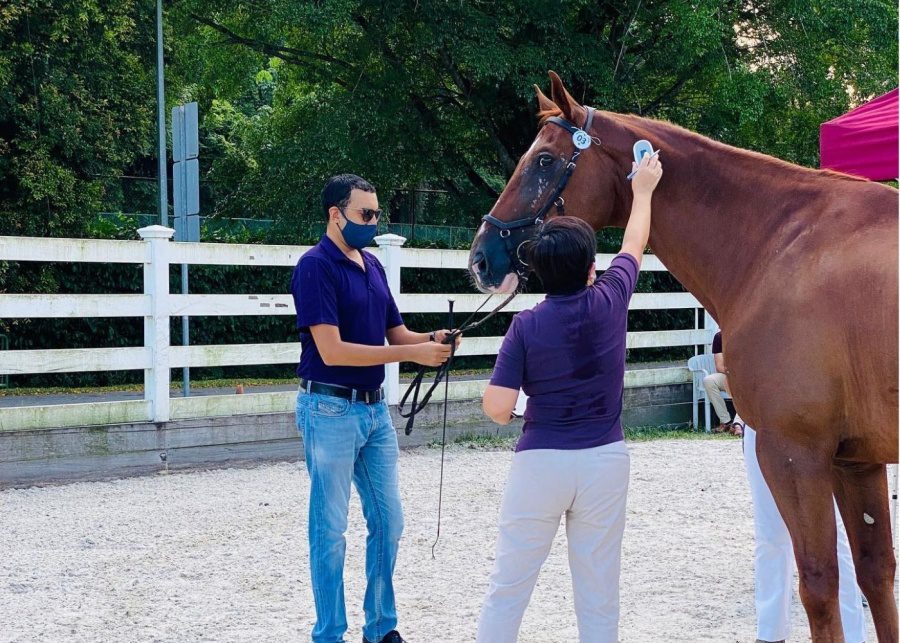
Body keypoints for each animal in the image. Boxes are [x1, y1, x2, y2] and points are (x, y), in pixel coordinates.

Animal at [468, 71, 898, 642]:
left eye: (542, 160)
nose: (481, 257)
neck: (782, 244)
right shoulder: (856, 460)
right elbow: (875, 574)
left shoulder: (795, 455)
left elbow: (820, 585)